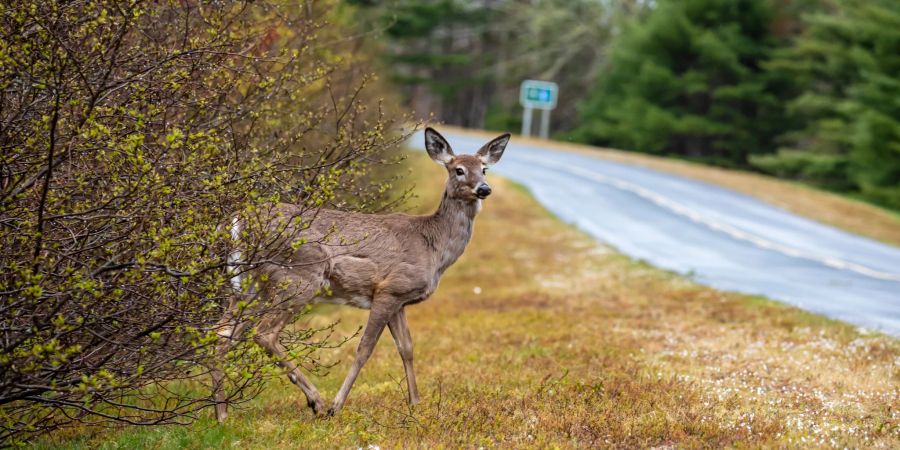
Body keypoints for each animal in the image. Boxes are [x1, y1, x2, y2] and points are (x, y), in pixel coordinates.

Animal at [209, 127, 506, 422]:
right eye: (458, 170)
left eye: (484, 169)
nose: (484, 189)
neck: (434, 246)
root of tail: (237, 222)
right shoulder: (390, 289)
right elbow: (365, 349)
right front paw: (337, 405)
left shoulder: (400, 300)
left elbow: (407, 348)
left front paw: (416, 404)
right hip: (298, 277)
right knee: (264, 333)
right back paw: (316, 402)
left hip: (251, 286)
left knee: (222, 333)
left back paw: (222, 414)